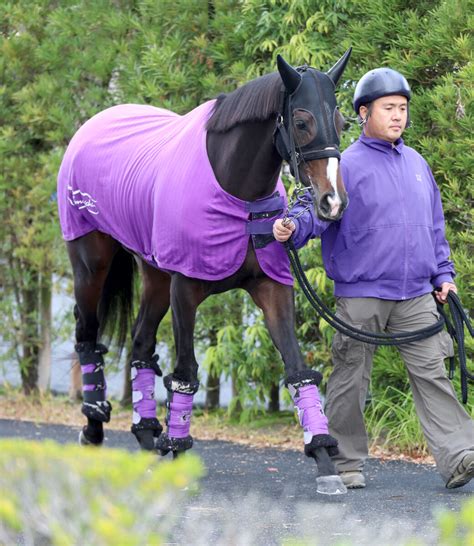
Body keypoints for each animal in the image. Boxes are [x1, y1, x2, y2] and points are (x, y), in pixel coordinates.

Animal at [56, 50, 352, 492]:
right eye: (301, 121)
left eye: (341, 121)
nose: (333, 202)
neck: (235, 194)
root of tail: (94, 123)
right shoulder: (185, 292)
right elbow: (185, 372)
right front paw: (178, 451)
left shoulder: (272, 287)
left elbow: (297, 367)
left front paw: (324, 459)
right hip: (91, 267)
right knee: (87, 336)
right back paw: (93, 428)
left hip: (155, 275)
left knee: (141, 344)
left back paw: (148, 435)